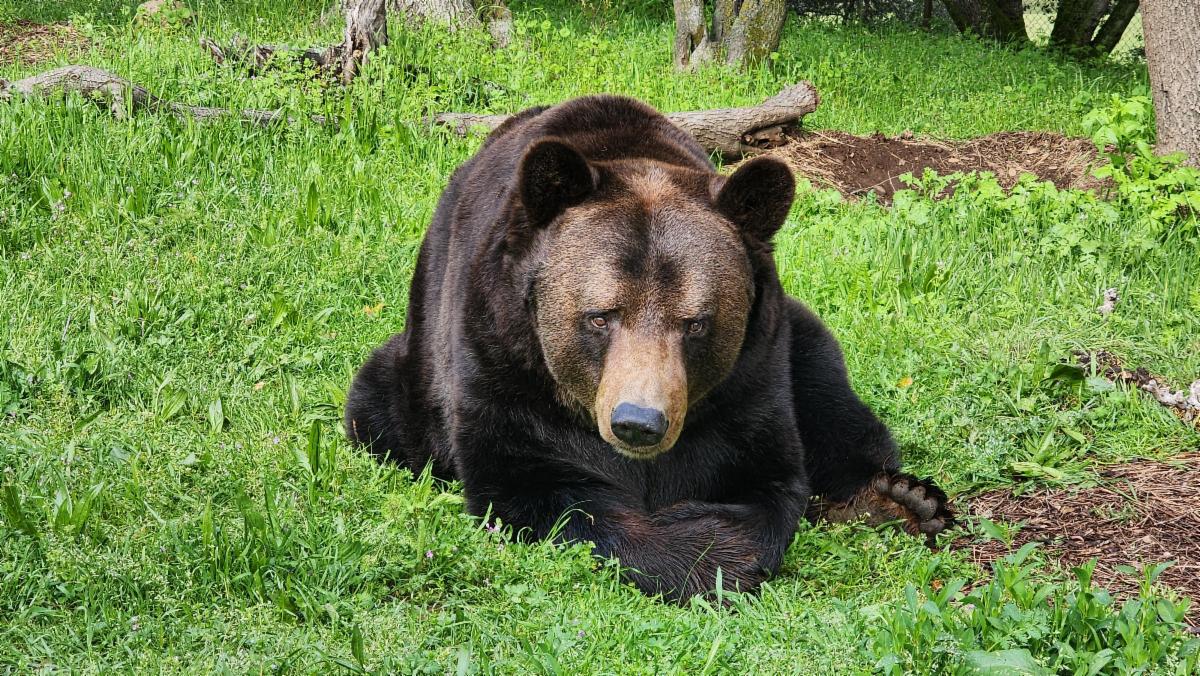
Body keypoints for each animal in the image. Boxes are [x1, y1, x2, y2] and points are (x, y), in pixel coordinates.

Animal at [345, 94, 953, 602]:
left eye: (696, 323)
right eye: (599, 316)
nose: (639, 422)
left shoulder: (748, 384)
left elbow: (768, 479)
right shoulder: (504, 367)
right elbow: (541, 491)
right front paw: (699, 550)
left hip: (795, 335)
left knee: (830, 393)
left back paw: (900, 499)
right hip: (409, 379)